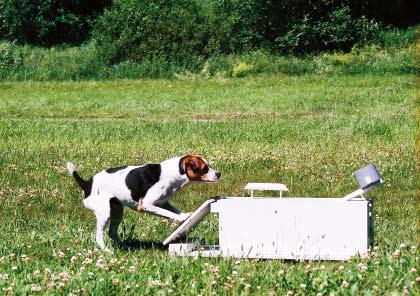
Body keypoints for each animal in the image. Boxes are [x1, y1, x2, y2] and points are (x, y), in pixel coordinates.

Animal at [65, 155, 220, 250]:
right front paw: (181, 218)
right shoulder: (146, 205)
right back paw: (107, 251)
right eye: (205, 168)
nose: (219, 174)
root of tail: (87, 184)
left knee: (112, 233)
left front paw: (186, 215)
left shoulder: (163, 203)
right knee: (99, 236)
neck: (173, 173)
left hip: (117, 211)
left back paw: (126, 247)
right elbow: (170, 214)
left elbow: (173, 210)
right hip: (104, 213)